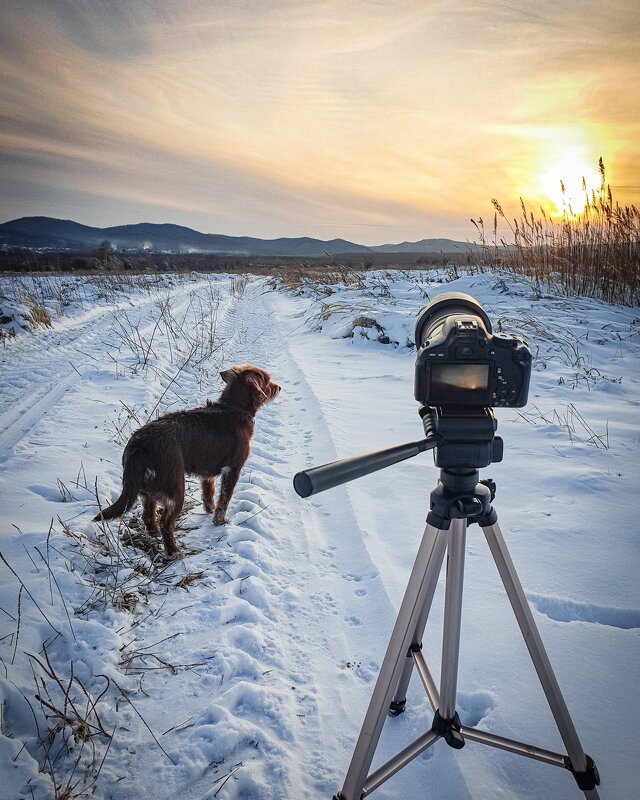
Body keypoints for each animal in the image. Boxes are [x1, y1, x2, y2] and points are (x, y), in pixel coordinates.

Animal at [93, 366, 280, 560]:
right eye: (267, 380)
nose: (279, 388)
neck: (234, 408)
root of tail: (139, 445)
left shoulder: (207, 474)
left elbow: (209, 492)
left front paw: (209, 509)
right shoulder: (233, 469)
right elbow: (224, 499)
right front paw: (220, 520)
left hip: (147, 491)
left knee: (148, 516)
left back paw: (155, 535)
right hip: (176, 490)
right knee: (165, 522)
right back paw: (173, 552)